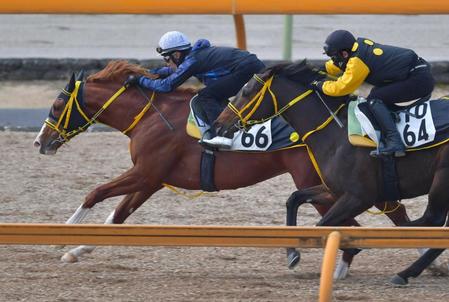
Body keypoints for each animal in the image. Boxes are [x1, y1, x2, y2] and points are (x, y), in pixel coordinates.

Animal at [34, 59, 410, 278]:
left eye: (57, 104)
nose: (40, 142)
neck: (150, 116)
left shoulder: (145, 173)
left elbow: (95, 192)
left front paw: (64, 233)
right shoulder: (152, 179)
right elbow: (119, 215)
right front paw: (77, 249)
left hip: (323, 183)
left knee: (377, 218)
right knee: (377, 218)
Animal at [213, 60, 448, 284]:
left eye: (246, 91)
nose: (218, 125)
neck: (337, 134)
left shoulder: (360, 197)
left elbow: (321, 225)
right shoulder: (334, 190)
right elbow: (294, 199)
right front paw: (292, 254)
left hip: (441, 181)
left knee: (434, 220)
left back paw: (405, 268)